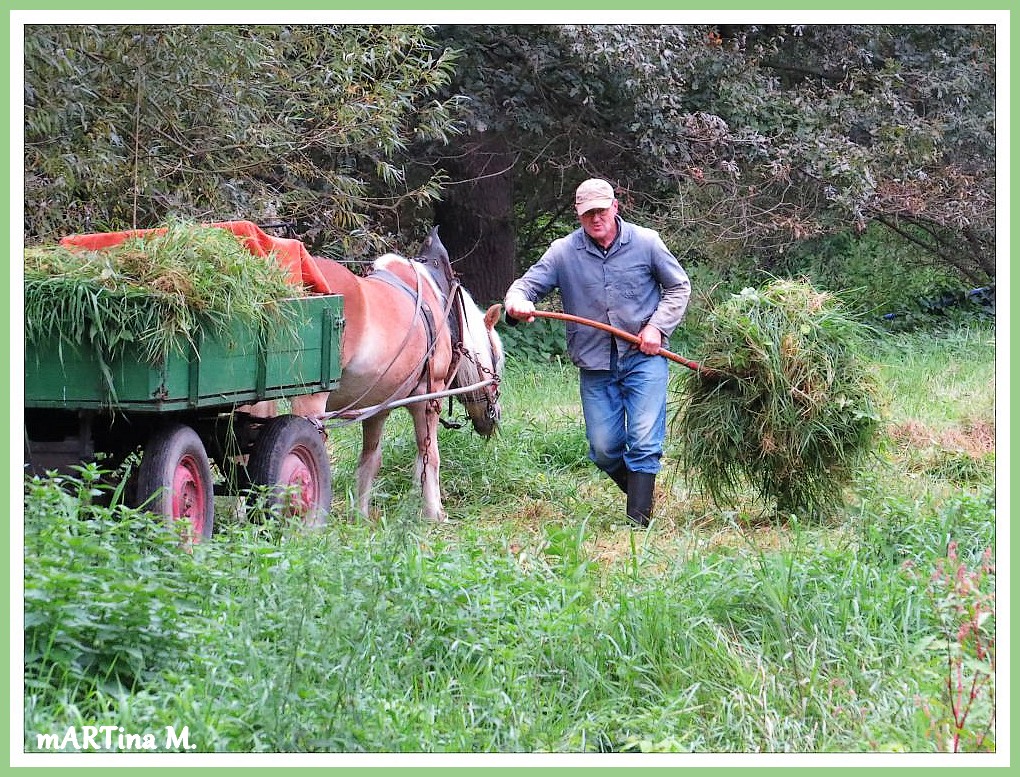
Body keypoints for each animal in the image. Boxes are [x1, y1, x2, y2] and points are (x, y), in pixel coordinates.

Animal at [291, 230, 501, 520]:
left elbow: (370, 460)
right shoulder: (428, 395)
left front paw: (361, 516)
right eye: (497, 359)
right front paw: (434, 512)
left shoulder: (376, 407)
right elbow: (429, 454)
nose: (494, 418)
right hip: (310, 402)